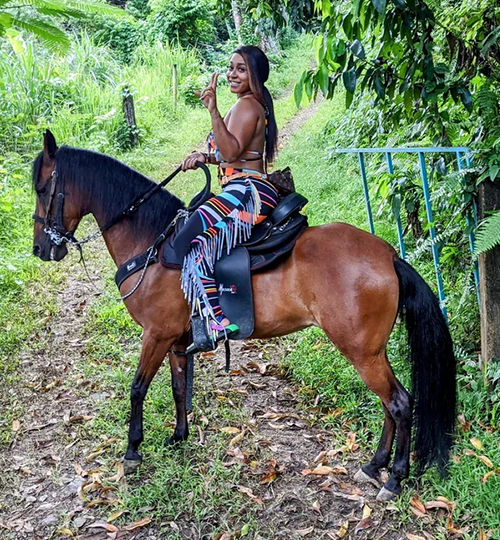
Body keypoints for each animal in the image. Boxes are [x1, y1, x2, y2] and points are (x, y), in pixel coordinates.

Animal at [32, 131, 458, 502]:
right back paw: (374, 465)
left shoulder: (155, 334)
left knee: (399, 403)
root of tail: (388, 255)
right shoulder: (176, 339)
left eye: (41, 188)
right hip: (371, 353)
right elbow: (178, 387)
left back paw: (395, 478)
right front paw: (179, 435)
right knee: (390, 404)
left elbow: (137, 389)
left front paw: (133, 450)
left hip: (362, 352)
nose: (40, 249)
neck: (150, 242)